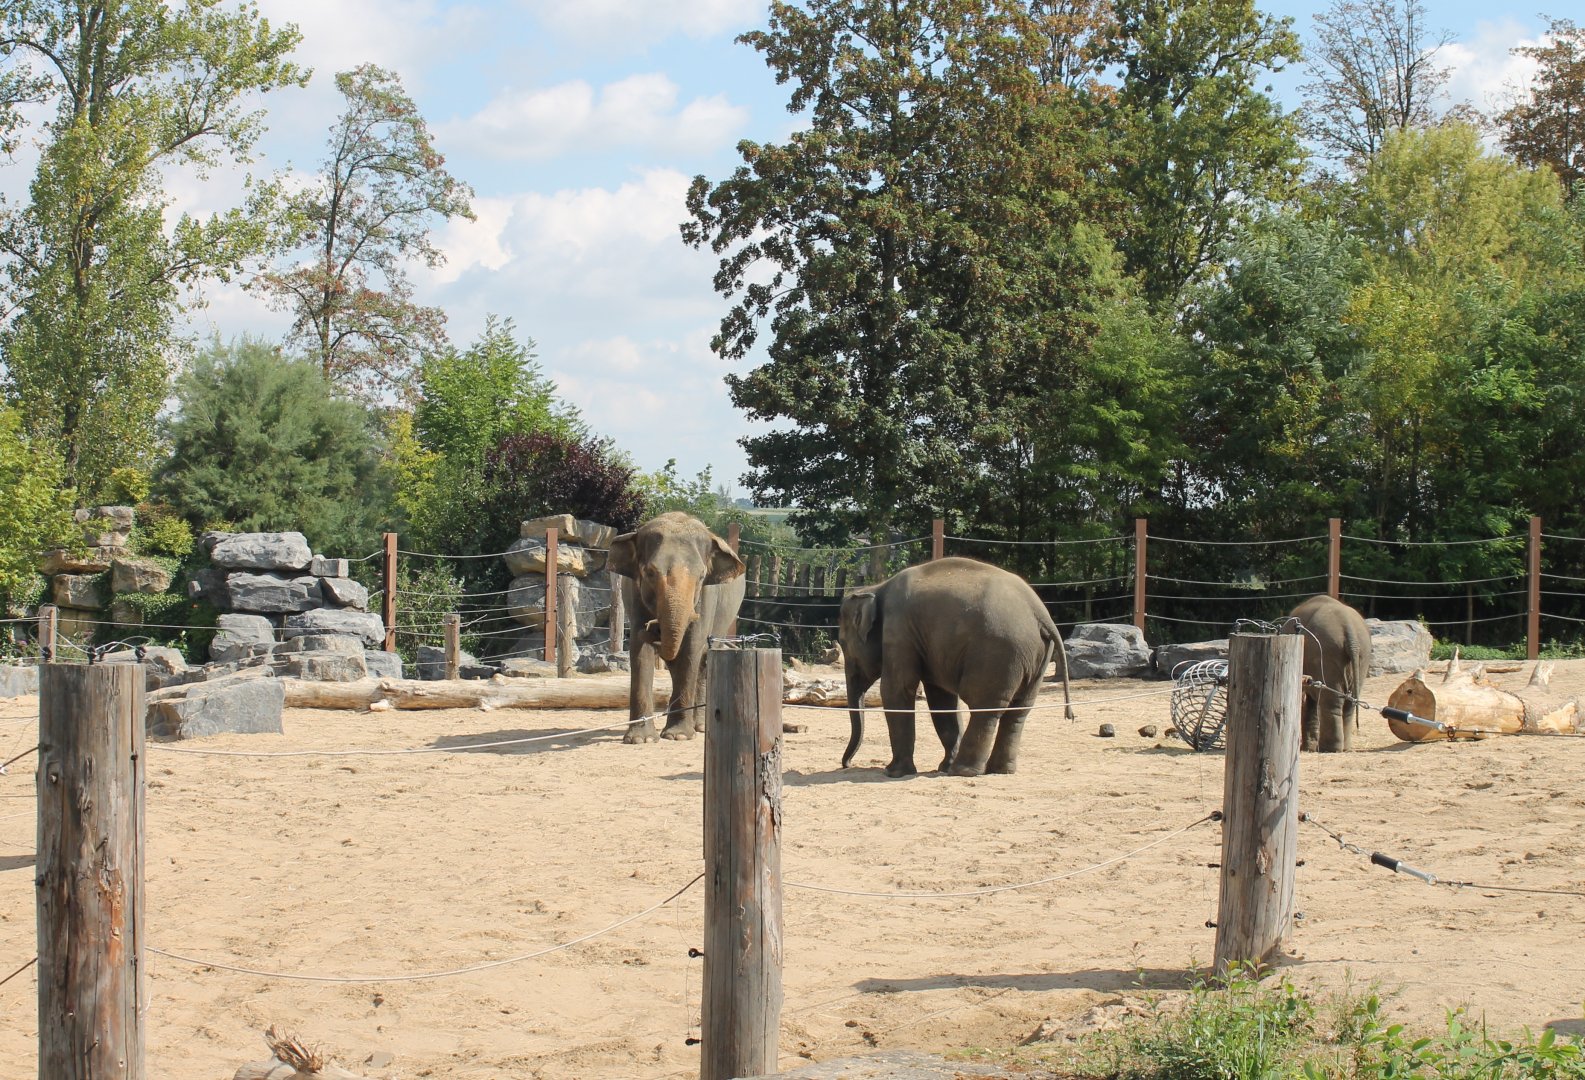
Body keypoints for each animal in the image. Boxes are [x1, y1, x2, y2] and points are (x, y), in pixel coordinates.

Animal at [607, 512, 747, 743]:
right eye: (650, 573)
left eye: (701, 576)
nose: (653, 629)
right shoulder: (634, 597)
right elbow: (639, 652)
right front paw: (641, 739)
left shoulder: (706, 598)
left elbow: (692, 647)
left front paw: (678, 736)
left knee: (705, 661)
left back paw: (700, 726)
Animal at [838, 557, 1074, 777]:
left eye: (842, 643)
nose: (847, 764)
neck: (877, 587)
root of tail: (1041, 615)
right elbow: (940, 698)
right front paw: (942, 766)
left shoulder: (899, 630)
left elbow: (896, 688)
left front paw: (894, 772)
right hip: (1034, 658)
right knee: (1018, 711)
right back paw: (999, 770)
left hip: (997, 653)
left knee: (984, 707)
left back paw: (963, 771)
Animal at [1286, 594, 1372, 752]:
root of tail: (1349, 629)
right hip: (1362, 655)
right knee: (1349, 702)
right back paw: (1344, 748)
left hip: (1327, 652)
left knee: (1332, 701)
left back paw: (1328, 748)